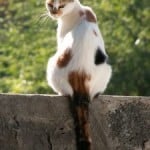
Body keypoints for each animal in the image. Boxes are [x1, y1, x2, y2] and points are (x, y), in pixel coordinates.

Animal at [45, 0, 111, 149]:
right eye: (50, 5)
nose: (54, 13)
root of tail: (80, 75)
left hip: (51, 64)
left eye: (61, 6)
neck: (79, 10)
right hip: (107, 69)